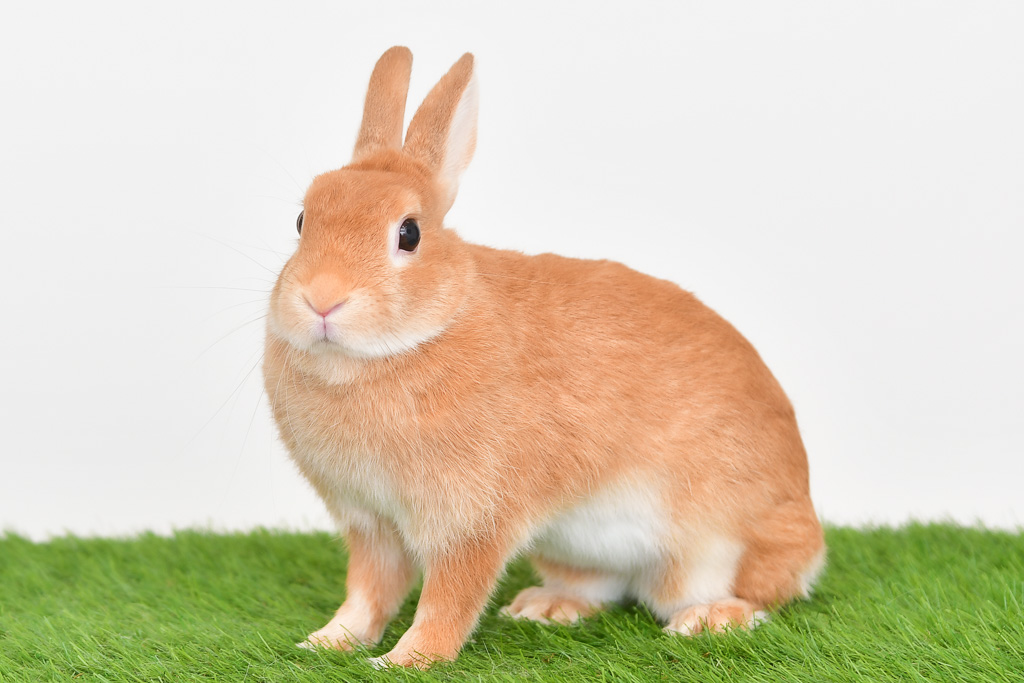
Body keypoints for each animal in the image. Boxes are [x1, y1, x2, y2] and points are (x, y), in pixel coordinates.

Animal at [263, 46, 825, 669]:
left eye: (408, 233)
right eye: (302, 221)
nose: (321, 298)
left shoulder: (472, 521)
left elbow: (448, 599)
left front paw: (405, 661)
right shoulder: (372, 524)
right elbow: (368, 591)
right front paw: (326, 642)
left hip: (716, 548)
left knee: (762, 593)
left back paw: (710, 618)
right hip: (578, 548)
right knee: (602, 586)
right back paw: (548, 606)